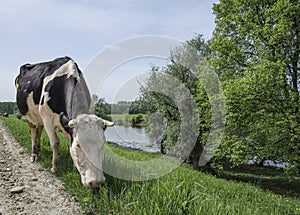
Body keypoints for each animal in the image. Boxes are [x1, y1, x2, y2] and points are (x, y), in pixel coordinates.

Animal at [15, 56, 113, 187]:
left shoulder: (66, 124)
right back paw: (34, 154)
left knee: (39, 130)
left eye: (103, 144)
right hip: (29, 116)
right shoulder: (47, 118)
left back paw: (39, 148)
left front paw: (74, 166)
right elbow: (55, 142)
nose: (96, 182)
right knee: (33, 133)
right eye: (78, 145)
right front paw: (55, 167)